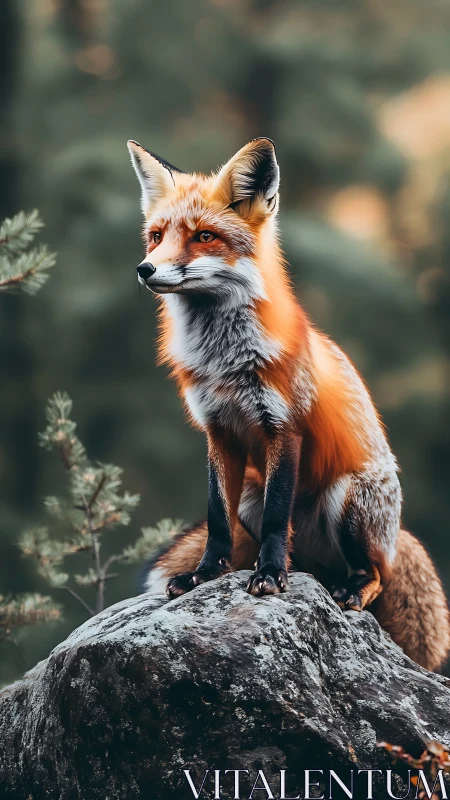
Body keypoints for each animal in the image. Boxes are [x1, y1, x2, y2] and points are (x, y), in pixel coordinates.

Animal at [128, 136, 450, 673]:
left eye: (204, 236)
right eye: (156, 237)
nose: (145, 269)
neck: (225, 363)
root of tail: (397, 533)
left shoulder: (284, 426)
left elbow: (280, 516)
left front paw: (270, 578)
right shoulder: (218, 431)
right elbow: (216, 518)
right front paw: (205, 575)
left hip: (349, 497)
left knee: (373, 573)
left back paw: (349, 589)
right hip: (252, 497)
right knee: (303, 560)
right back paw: (302, 573)